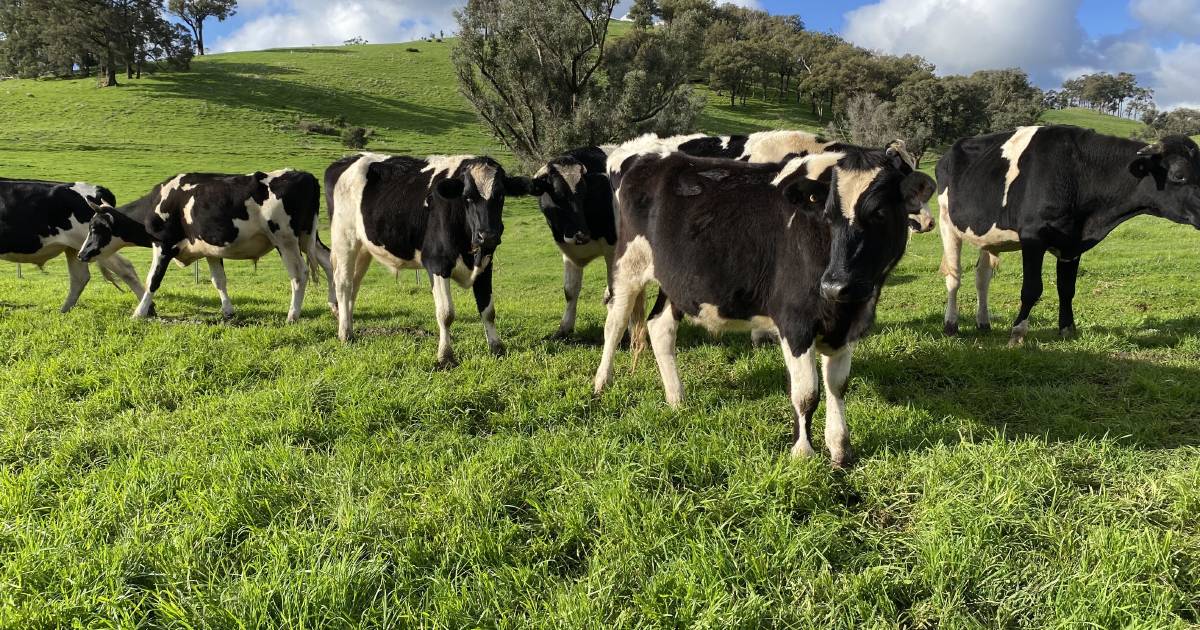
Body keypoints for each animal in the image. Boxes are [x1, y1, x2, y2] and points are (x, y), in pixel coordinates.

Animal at [1, 177, 146, 309]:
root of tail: (99, 189)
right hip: (77, 248)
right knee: (80, 277)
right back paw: (63, 311)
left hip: (98, 246)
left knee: (124, 267)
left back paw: (145, 309)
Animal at [78, 169, 333, 321]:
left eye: (95, 228)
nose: (81, 254)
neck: (159, 203)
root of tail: (304, 175)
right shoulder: (210, 249)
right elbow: (218, 280)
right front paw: (228, 311)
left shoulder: (164, 244)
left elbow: (153, 280)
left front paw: (139, 312)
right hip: (308, 237)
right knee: (329, 262)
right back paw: (334, 305)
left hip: (285, 239)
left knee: (299, 274)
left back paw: (293, 315)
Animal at [328, 152, 535, 364]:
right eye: (468, 197)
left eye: (500, 195)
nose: (487, 236)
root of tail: (349, 159)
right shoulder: (437, 263)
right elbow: (446, 314)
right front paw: (445, 356)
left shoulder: (485, 263)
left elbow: (488, 310)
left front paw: (497, 348)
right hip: (344, 240)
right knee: (343, 284)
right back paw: (345, 334)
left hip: (363, 248)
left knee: (354, 285)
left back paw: (349, 327)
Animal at [595, 145, 931, 463]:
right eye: (828, 215)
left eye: (880, 213)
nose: (835, 284)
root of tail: (646, 156)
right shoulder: (795, 321)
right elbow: (806, 393)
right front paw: (803, 453)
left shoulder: (845, 325)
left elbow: (837, 385)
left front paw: (840, 449)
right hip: (628, 266)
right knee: (614, 324)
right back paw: (601, 384)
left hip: (677, 280)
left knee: (660, 327)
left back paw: (677, 399)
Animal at [936, 126, 1200, 343]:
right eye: (1179, 175)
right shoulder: (1033, 237)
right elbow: (1031, 288)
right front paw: (1017, 333)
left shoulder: (1072, 244)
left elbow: (1067, 288)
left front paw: (1067, 329)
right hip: (946, 223)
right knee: (954, 276)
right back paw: (951, 325)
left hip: (988, 237)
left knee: (982, 277)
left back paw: (983, 323)